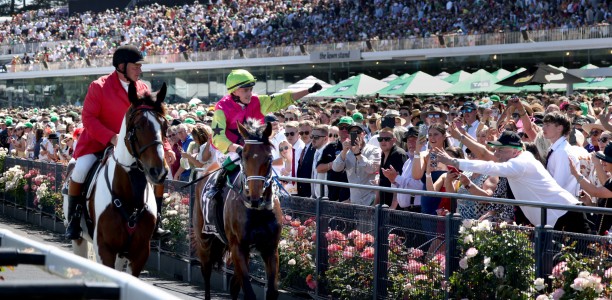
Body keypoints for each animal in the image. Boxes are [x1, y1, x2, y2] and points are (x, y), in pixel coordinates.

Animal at [63, 81, 169, 276]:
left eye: (165, 127)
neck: (131, 196)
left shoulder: (140, 253)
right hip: (79, 240)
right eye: (138, 126)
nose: (158, 171)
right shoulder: (105, 249)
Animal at [192, 118, 284, 298]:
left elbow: (272, 291)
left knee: (234, 284)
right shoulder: (238, 246)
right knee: (206, 272)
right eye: (244, 157)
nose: (255, 197)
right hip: (204, 239)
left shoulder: (270, 248)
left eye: (269, 158)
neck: (257, 212)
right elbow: (249, 291)